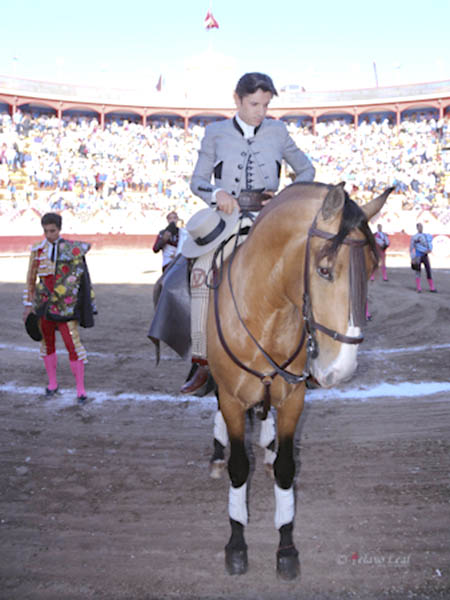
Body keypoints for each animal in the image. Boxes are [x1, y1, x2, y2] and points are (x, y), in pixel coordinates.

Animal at [206, 181, 393, 579]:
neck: (267, 314)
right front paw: (236, 543)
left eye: (372, 268)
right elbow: (238, 467)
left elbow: (286, 469)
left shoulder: (293, 400)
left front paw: (286, 547)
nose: (342, 369)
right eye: (323, 270)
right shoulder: (232, 399)